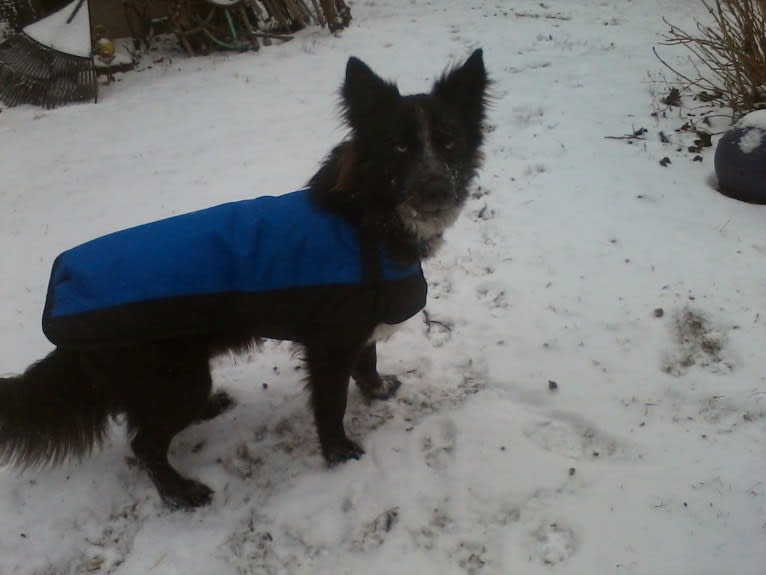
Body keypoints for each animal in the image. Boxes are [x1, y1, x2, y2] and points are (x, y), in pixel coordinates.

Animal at [0, 49, 488, 508]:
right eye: (398, 148)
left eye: (449, 142)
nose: (437, 190)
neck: (366, 219)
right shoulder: (330, 345)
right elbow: (332, 405)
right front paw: (340, 454)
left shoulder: (361, 324)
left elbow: (366, 365)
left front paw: (379, 390)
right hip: (175, 379)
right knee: (144, 444)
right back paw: (181, 493)